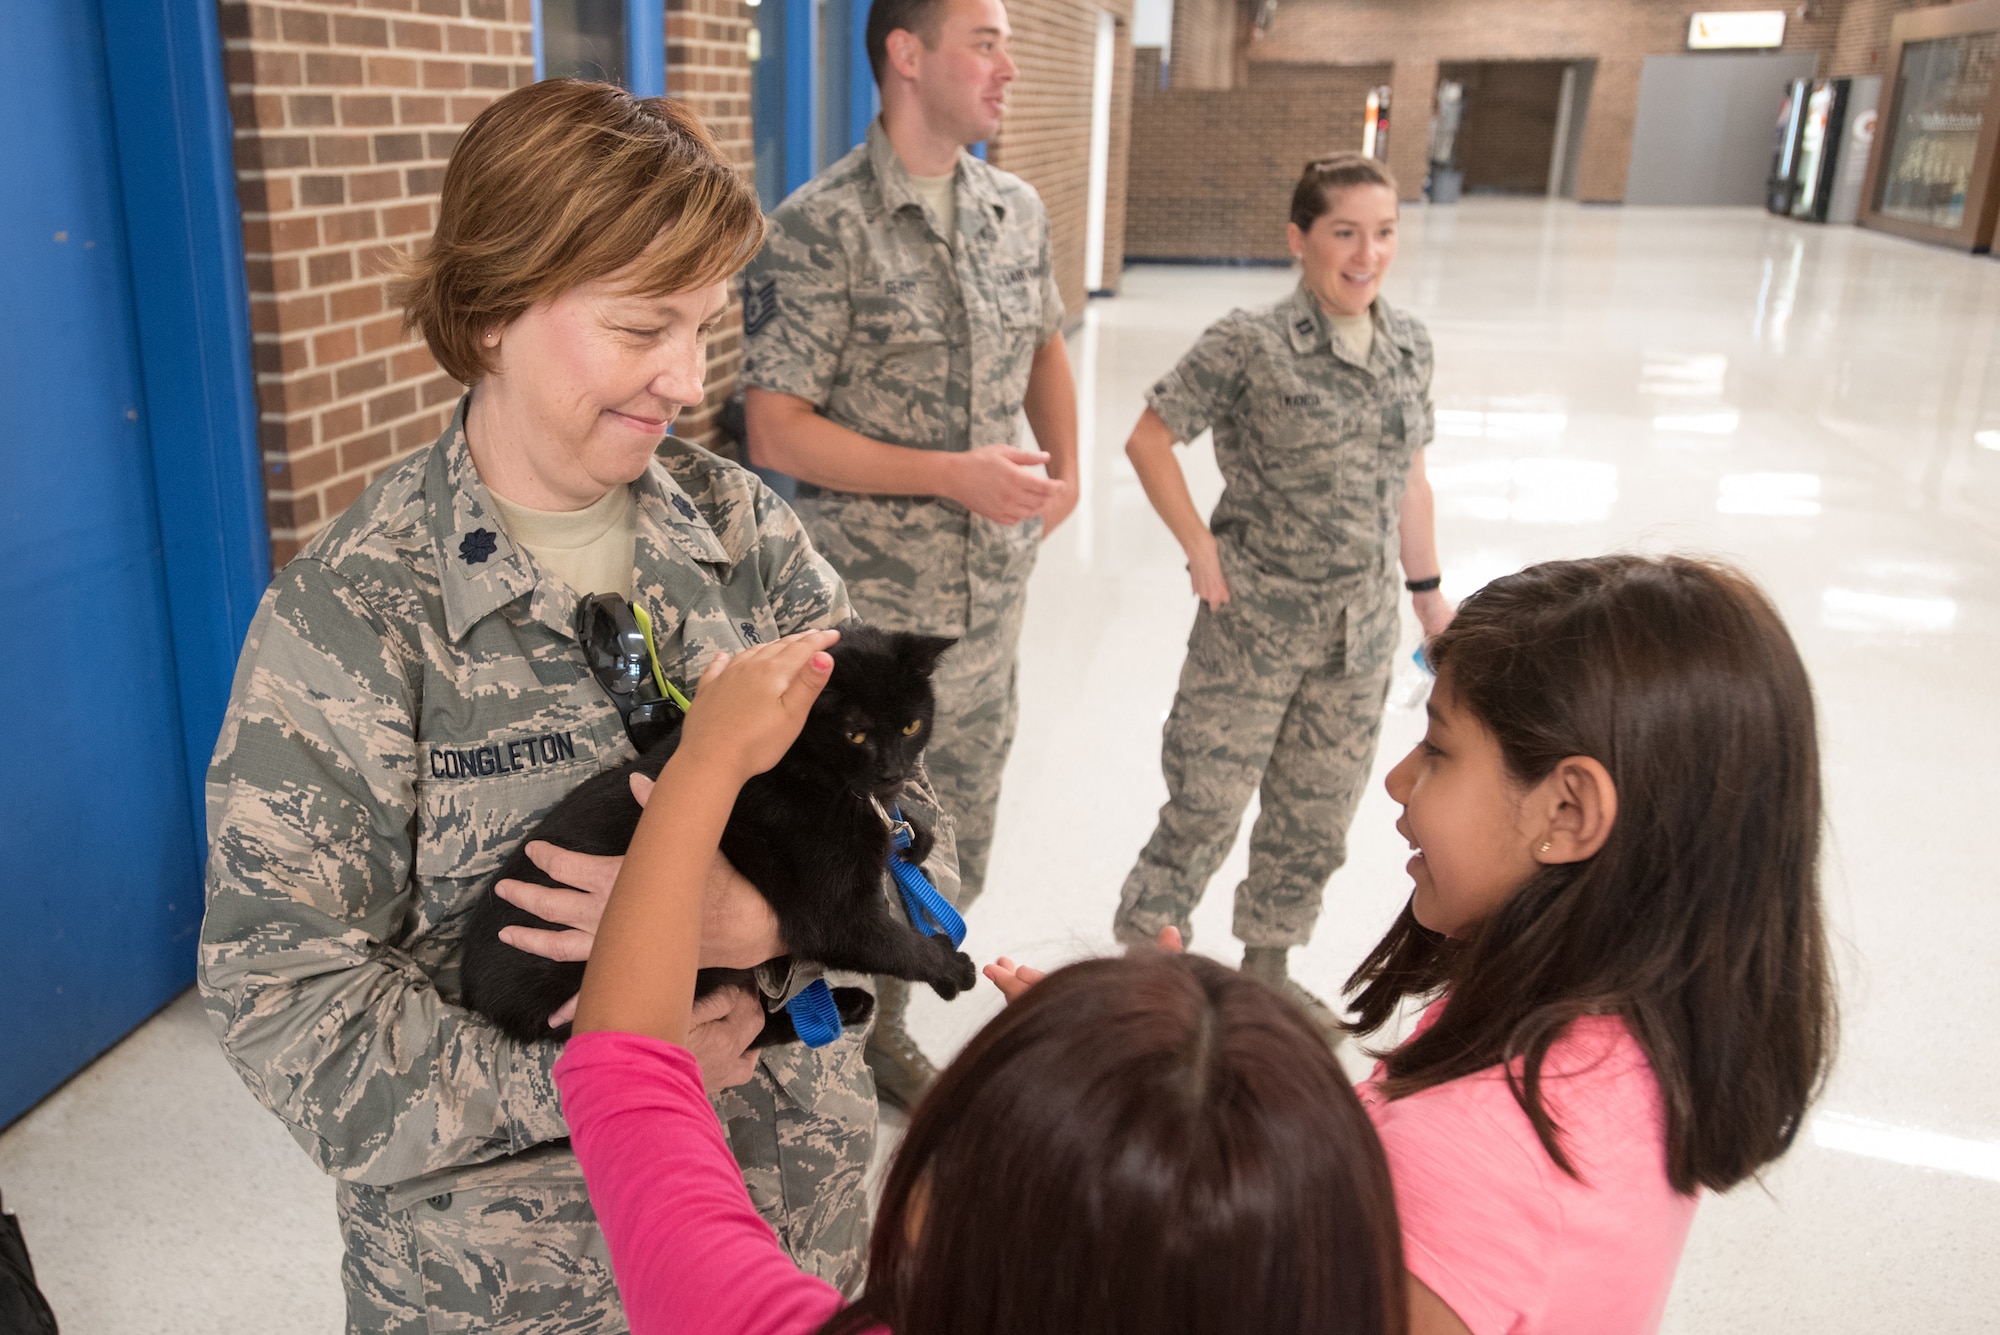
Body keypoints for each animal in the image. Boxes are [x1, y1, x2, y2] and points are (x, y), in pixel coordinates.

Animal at [462, 619, 976, 1047]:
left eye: (911, 726)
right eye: (856, 735)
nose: (893, 771)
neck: (805, 770)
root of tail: (474, 990)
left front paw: (912, 836)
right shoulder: (834, 915)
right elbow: (895, 946)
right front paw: (951, 968)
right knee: (749, 1028)